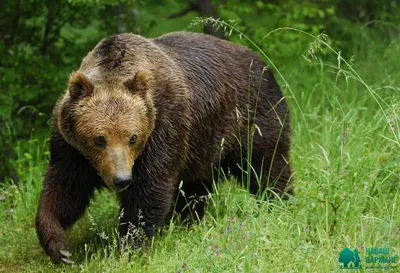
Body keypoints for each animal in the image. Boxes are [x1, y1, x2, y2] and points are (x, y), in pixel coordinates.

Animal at [36, 30, 292, 262]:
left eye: (132, 137)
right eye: (99, 139)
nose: (122, 179)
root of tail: (263, 62)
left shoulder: (163, 127)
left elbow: (149, 188)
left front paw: (131, 246)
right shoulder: (72, 149)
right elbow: (66, 189)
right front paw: (59, 247)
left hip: (251, 117)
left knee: (266, 165)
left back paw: (278, 202)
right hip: (202, 146)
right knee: (195, 187)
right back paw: (189, 220)